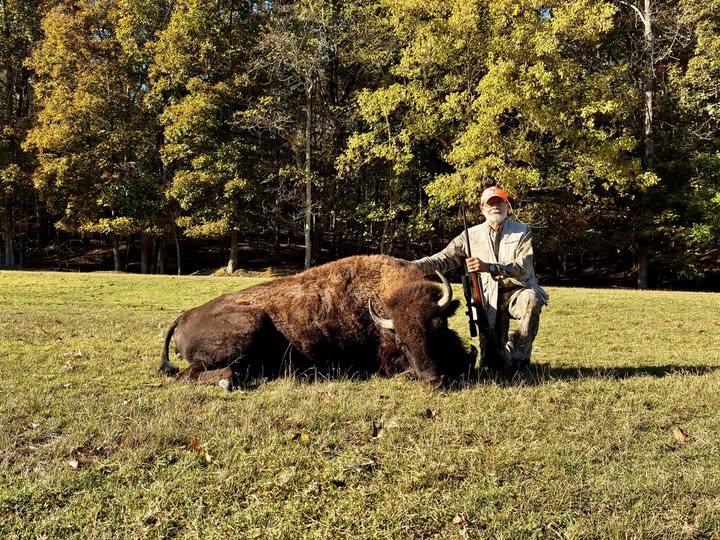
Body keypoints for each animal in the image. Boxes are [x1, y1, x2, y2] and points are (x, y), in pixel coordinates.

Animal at [159, 255, 473, 389]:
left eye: (440, 328)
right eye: (402, 341)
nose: (434, 381)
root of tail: (186, 315)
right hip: (250, 324)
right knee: (189, 374)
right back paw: (228, 381)